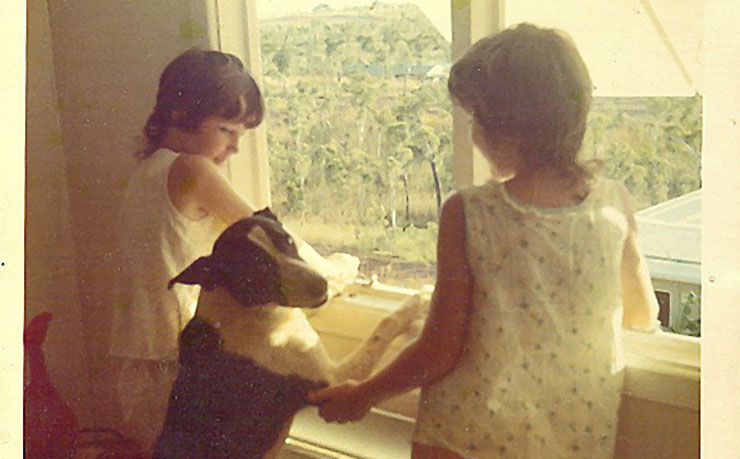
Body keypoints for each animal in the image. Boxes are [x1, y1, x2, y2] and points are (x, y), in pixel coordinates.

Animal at [153, 210, 424, 458]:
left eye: (288, 241)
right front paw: (417, 304)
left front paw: (343, 264)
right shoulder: (333, 379)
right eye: (259, 268)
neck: (245, 309)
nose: (320, 285)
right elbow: (383, 328)